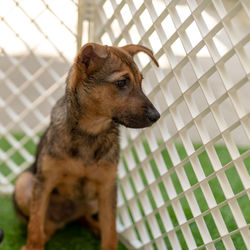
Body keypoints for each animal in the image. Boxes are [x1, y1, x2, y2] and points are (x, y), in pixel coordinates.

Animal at [12, 43, 160, 250]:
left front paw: (106, 236)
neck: (90, 132)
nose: (157, 116)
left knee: (83, 218)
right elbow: (34, 226)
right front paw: (33, 246)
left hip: (95, 200)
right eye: (122, 82)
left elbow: (110, 232)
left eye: (141, 81)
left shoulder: (107, 187)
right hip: (25, 183)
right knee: (42, 225)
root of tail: (63, 220)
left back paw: (94, 227)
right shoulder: (45, 181)